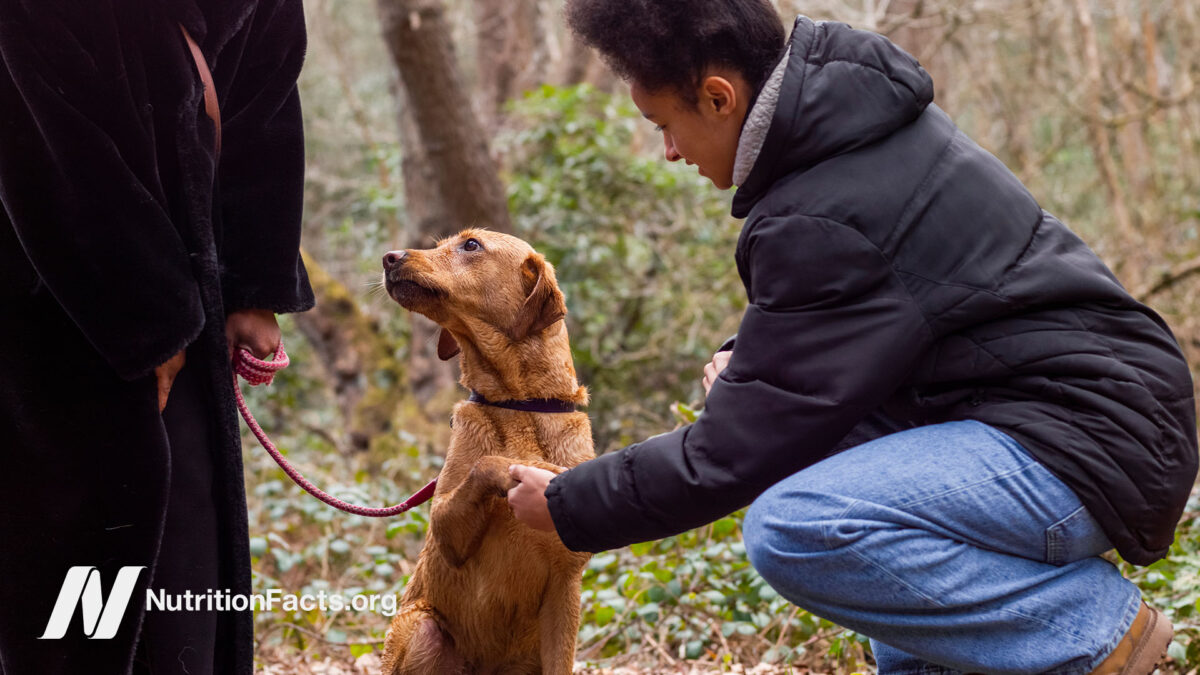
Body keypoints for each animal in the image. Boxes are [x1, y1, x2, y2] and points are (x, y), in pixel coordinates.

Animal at [379, 228, 590, 667]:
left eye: (471, 245)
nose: (389, 257)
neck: (519, 405)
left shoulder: (566, 588)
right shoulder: (445, 528)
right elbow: (487, 463)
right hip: (422, 628)